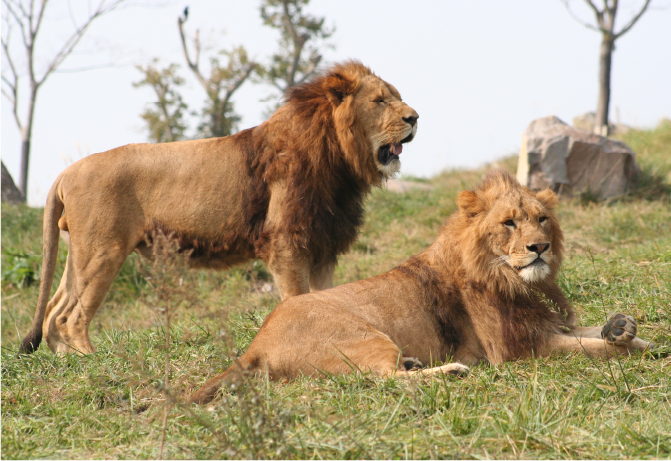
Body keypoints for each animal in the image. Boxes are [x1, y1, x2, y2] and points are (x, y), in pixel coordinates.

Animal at [19, 58, 420, 352]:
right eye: (380, 101)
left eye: (396, 96)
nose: (415, 117)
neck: (340, 161)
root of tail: (66, 172)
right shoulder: (287, 244)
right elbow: (297, 297)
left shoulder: (323, 246)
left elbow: (326, 297)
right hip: (104, 251)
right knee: (69, 317)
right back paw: (92, 361)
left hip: (81, 253)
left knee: (54, 309)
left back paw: (67, 362)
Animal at [192, 170, 652, 402]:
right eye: (509, 223)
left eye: (542, 219)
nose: (539, 247)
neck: (519, 281)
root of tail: (255, 344)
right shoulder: (518, 350)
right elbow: (593, 349)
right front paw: (638, 349)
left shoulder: (547, 324)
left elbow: (592, 332)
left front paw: (624, 328)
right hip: (365, 337)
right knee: (380, 379)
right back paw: (451, 372)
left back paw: (418, 365)